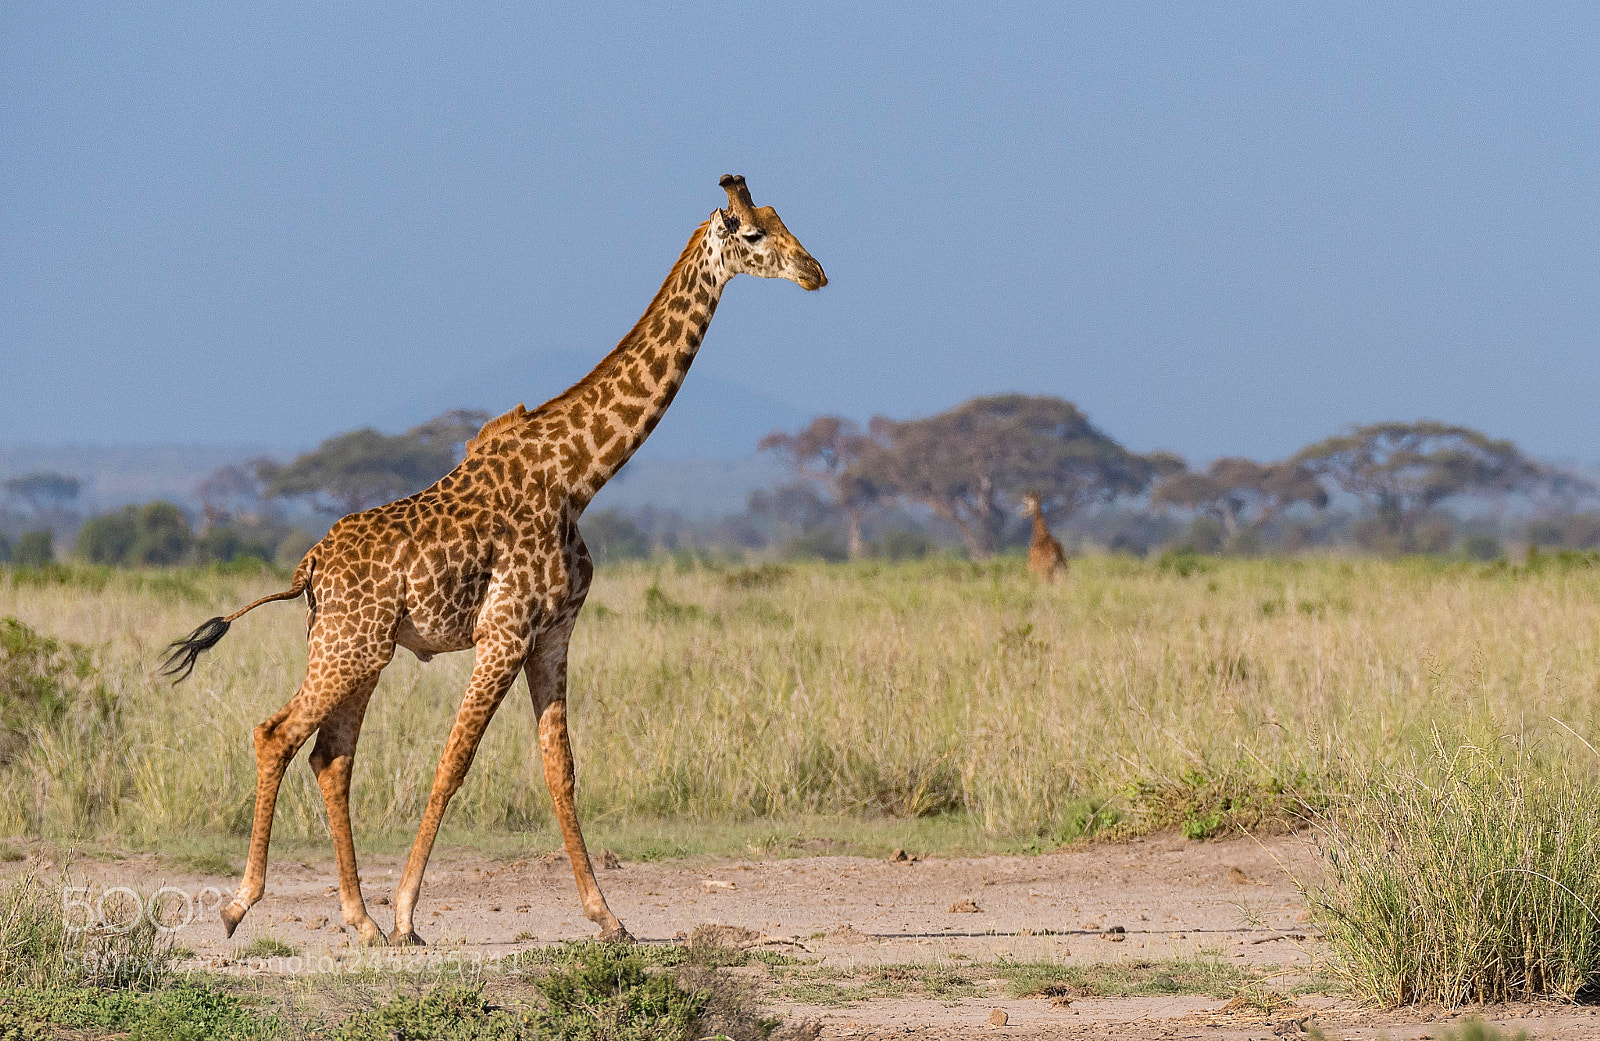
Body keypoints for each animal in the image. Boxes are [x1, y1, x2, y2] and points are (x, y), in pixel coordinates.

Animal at [162, 175, 826, 947]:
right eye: (752, 233)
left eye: (780, 220)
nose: (816, 272)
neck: (578, 475)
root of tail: (311, 568)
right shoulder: (504, 631)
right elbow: (454, 762)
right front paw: (408, 912)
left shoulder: (553, 632)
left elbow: (560, 769)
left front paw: (608, 916)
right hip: (348, 647)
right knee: (276, 734)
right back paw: (244, 904)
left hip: (358, 649)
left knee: (330, 756)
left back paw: (358, 919)